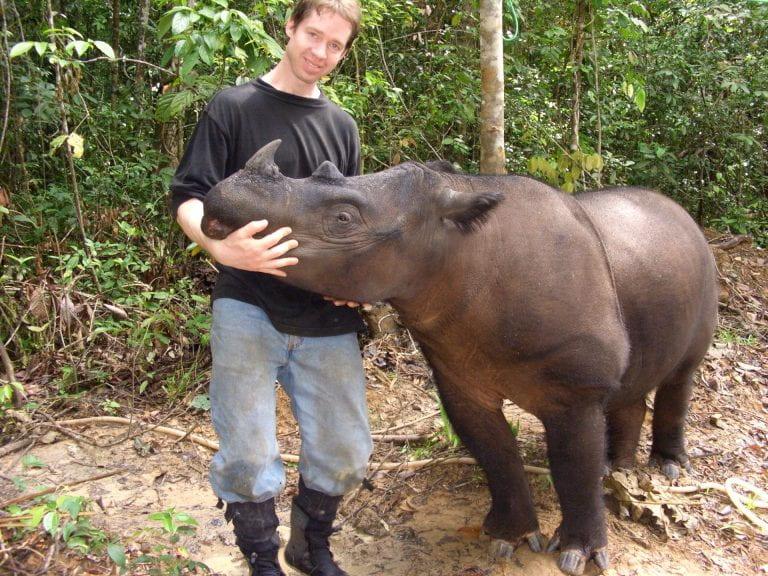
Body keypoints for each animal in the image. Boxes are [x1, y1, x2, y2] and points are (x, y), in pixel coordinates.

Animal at [201, 141, 716, 576]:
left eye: (344, 218)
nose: (219, 200)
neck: (458, 247)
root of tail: (684, 216)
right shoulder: (457, 374)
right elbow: (496, 455)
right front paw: (509, 539)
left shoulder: (576, 391)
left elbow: (574, 468)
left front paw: (579, 555)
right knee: (633, 383)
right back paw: (618, 470)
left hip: (702, 264)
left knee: (683, 374)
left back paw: (667, 469)